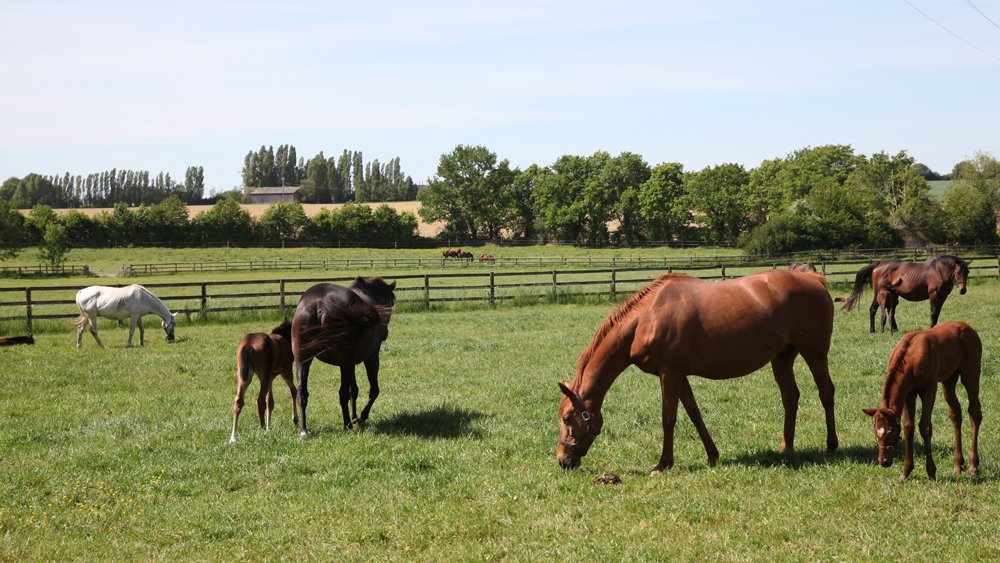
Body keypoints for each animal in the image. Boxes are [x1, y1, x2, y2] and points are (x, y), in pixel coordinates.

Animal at [292, 276, 396, 435]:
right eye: (392, 301)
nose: (385, 333)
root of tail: (321, 303)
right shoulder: (370, 357)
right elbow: (373, 390)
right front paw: (360, 418)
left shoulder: (350, 363)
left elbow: (354, 391)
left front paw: (355, 417)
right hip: (345, 363)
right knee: (343, 394)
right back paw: (347, 424)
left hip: (303, 361)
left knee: (302, 393)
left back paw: (304, 430)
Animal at [556, 270, 838, 474]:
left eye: (568, 418)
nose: (562, 460)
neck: (645, 318)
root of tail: (813, 279)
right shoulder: (680, 375)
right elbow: (694, 413)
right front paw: (712, 455)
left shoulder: (669, 373)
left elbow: (668, 418)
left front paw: (663, 464)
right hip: (782, 358)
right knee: (790, 398)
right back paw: (785, 449)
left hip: (815, 354)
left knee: (826, 393)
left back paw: (831, 447)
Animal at [840, 256, 971, 332]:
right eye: (958, 272)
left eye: (968, 272)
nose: (963, 290)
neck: (939, 271)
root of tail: (878, 264)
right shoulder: (933, 295)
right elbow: (933, 313)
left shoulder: (943, 296)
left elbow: (937, 313)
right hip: (879, 294)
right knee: (873, 309)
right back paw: (872, 330)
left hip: (893, 295)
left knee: (891, 313)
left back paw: (894, 330)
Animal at [862, 321, 982, 480]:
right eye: (876, 432)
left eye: (890, 431)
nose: (884, 461)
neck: (911, 357)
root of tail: (967, 327)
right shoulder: (909, 392)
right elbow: (908, 426)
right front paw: (906, 471)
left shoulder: (929, 388)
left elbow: (925, 426)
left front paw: (931, 471)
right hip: (949, 379)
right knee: (955, 413)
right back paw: (958, 464)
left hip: (971, 373)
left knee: (974, 412)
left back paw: (973, 466)